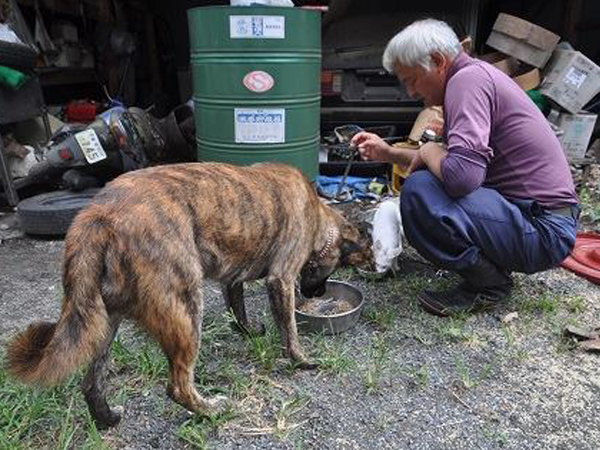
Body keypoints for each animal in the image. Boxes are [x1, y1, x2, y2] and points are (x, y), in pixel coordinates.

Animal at [5, 162, 370, 428]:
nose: (317, 292)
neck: (316, 213)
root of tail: (96, 216)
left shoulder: (232, 279)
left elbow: (237, 307)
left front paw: (249, 331)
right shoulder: (280, 279)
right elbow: (289, 330)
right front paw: (302, 360)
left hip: (104, 322)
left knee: (91, 384)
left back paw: (107, 418)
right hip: (185, 311)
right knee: (177, 385)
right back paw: (211, 410)